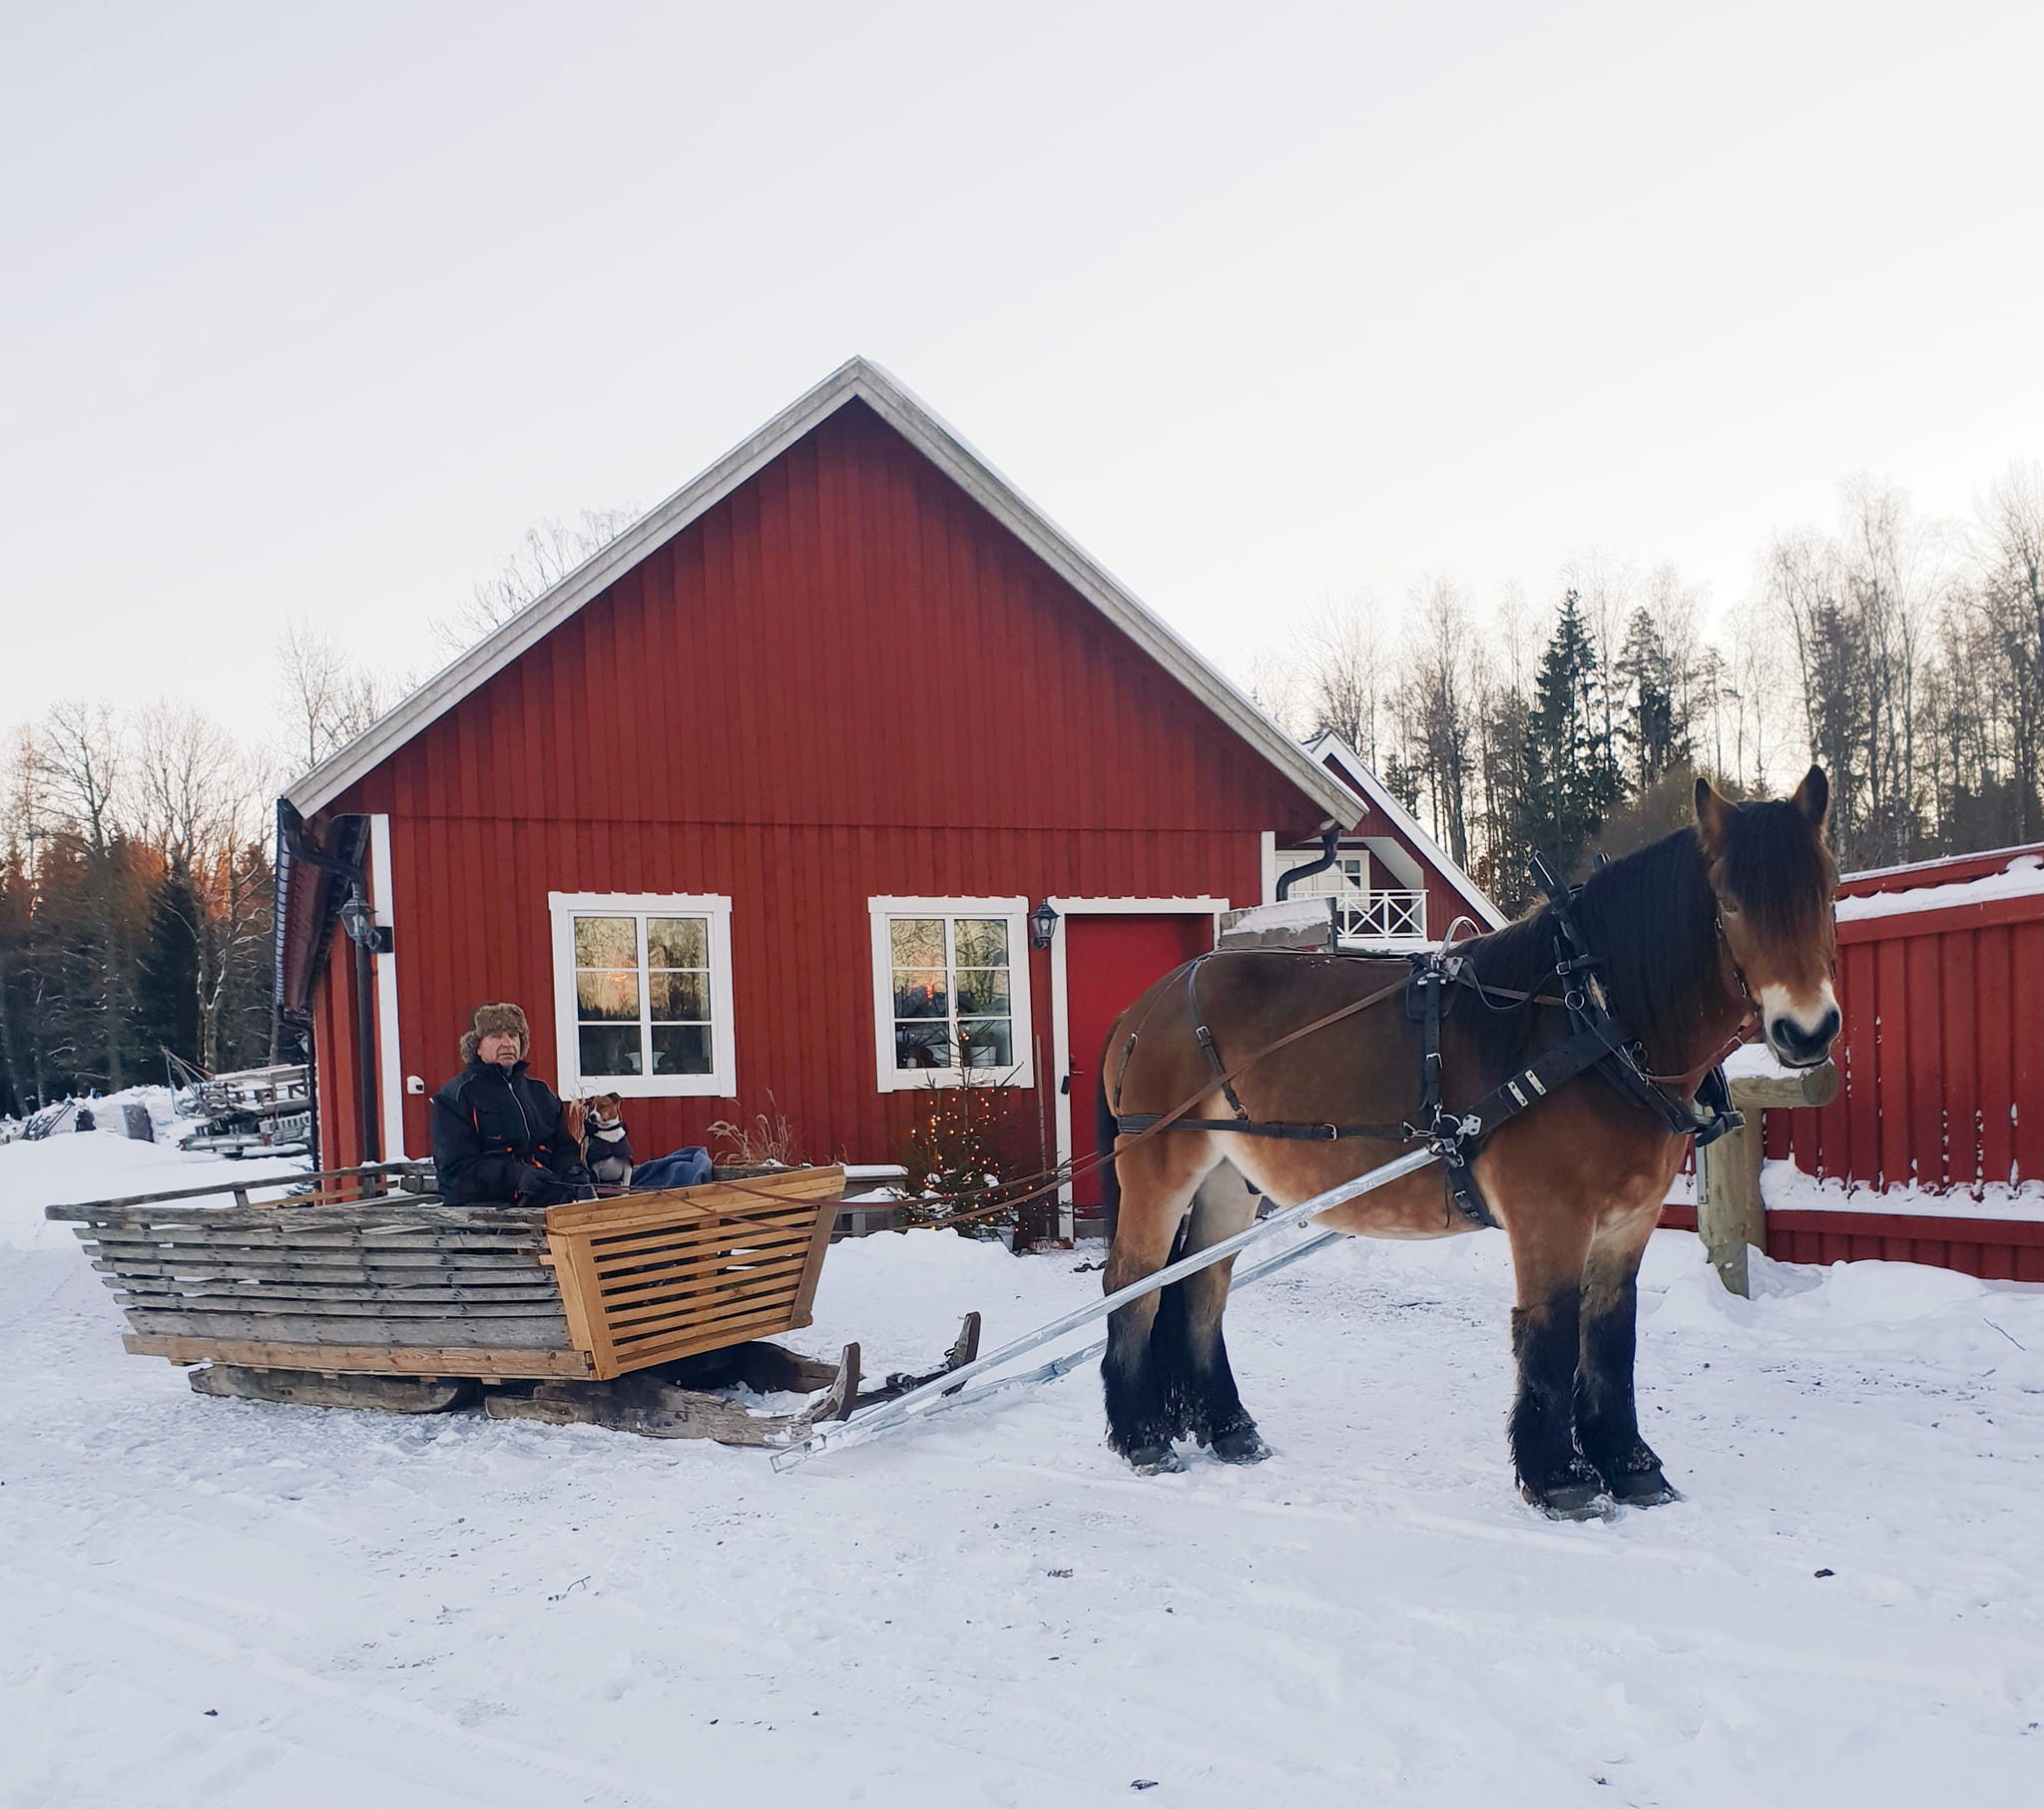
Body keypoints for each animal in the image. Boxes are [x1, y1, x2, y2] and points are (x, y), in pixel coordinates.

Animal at [1095, 770, 1839, 1516]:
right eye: (1732, 903)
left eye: (1827, 891)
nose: (1808, 1031)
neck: (1590, 1024)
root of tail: (1144, 1008)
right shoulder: (1550, 1217)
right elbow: (1550, 1334)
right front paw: (1561, 1476)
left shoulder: (1627, 1223)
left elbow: (1610, 1336)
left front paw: (1630, 1464)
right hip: (1159, 1172)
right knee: (1132, 1283)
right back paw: (1141, 1436)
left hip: (1229, 1180)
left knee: (1200, 1287)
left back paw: (1228, 1427)